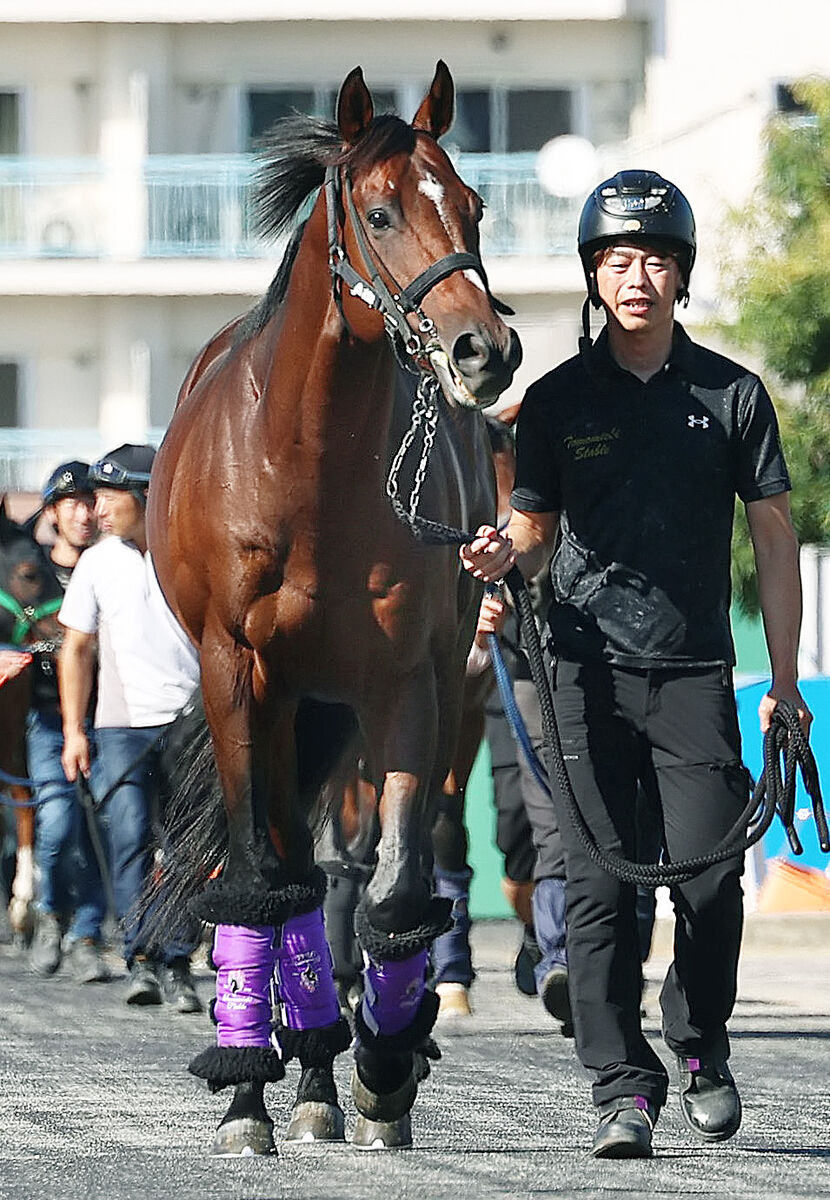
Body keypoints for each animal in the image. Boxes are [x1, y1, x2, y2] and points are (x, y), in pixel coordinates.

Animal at [144, 60, 518, 1156]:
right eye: (381, 210)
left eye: (472, 205)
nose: (484, 350)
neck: (301, 465)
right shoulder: (235, 670)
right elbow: (257, 872)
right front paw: (244, 1098)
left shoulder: (408, 683)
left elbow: (396, 882)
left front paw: (384, 1067)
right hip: (281, 701)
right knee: (286, 872)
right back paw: (290, 1070)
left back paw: (334, 1065)